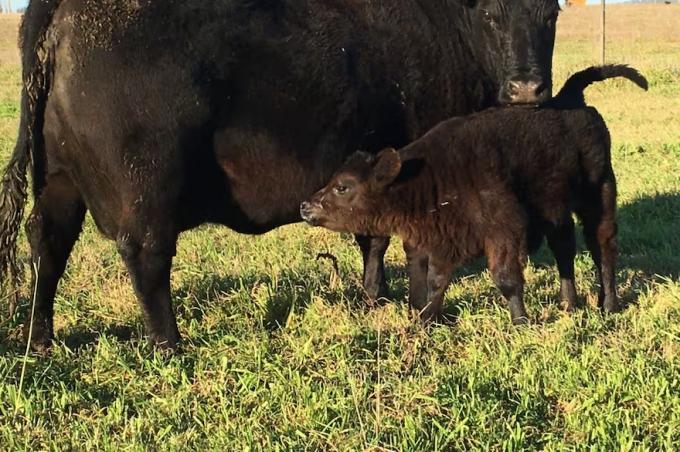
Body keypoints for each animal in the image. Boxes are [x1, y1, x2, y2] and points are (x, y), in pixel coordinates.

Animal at [0, 0, 560, 350]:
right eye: (490, 14)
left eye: (550, 14)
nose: (527, 88)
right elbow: (405, 242)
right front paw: (415, 306)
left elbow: (373, 237)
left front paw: (373, 297)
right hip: (147, 186)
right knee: (146, 256)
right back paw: (169, 343)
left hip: (58, 181)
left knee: (47, 246)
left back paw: (39, 339)